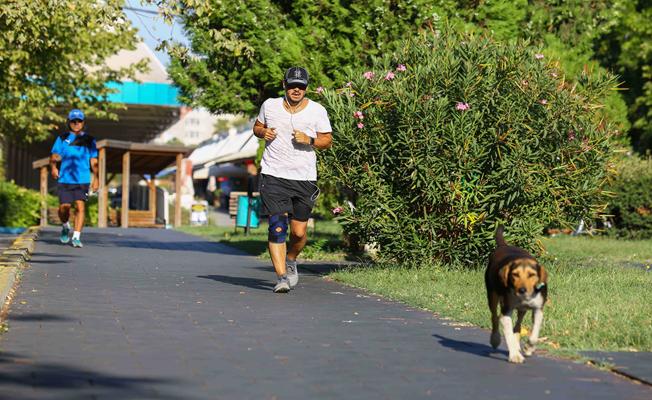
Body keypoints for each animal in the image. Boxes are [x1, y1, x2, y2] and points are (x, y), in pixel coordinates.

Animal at [486, 225, 548, 362]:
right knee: (494, 317)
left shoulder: (538, 309)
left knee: (518, 325)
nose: (522, 290)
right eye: (515, 274)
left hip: (522, 310)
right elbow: (507, 332)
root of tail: (504, 246)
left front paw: (529, 348)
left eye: (531, 275)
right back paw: (495, 339)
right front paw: (514, 355)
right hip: (492, 295)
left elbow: (535, 331)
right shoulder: (506, 312)